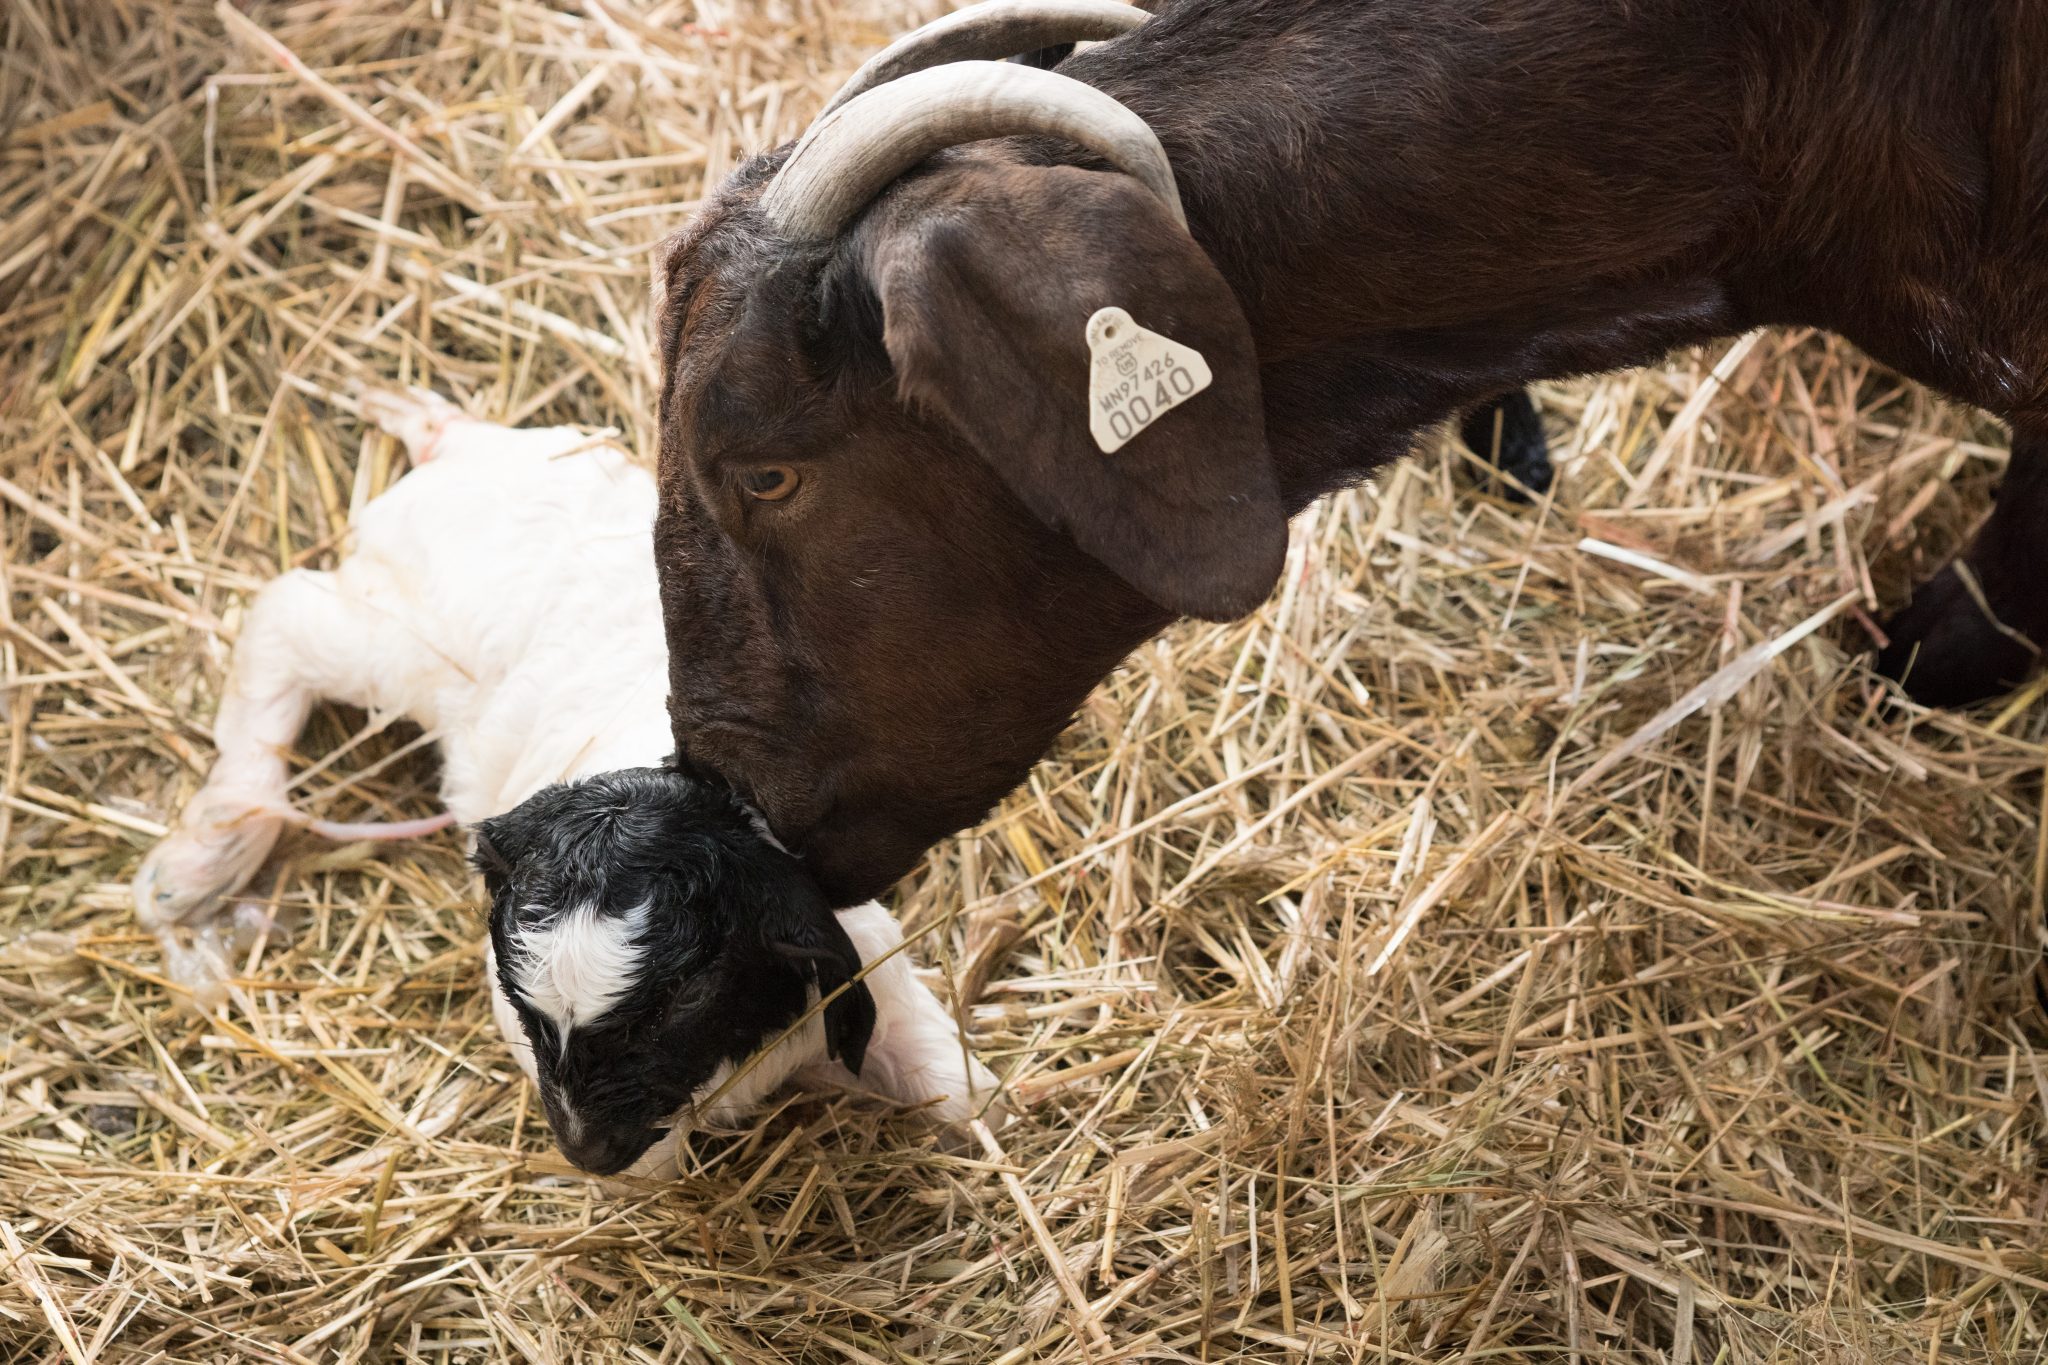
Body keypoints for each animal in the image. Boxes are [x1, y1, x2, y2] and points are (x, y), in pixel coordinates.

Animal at [133, 388, 998, 1176]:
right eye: (528, 1008)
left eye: (684, 998)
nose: (588, 1152)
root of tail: (465, 456)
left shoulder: (862, 944)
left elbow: (956, 1083)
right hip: (402, 645)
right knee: (287, 614)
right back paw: (200, 859)